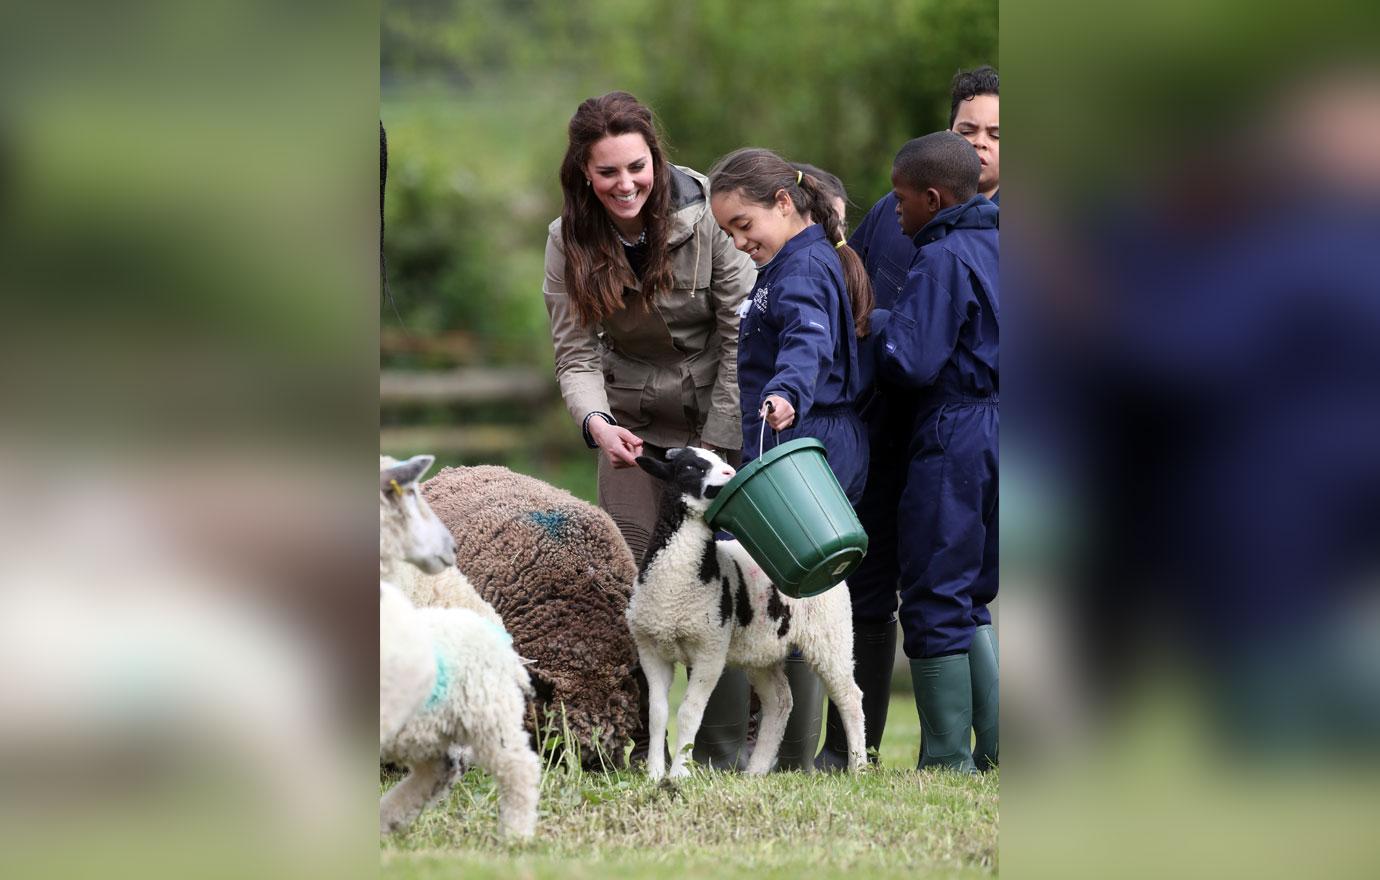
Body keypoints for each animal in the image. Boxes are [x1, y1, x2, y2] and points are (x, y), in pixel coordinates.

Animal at [632, 452, 866, 783]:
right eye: (691, 466)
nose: (731, 472)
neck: (674, 591)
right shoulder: (651, 648)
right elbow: (657, 713)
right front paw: (654, 774)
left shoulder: (710, 651)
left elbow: (689, 712)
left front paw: (678, 774)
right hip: (763, 651)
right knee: (780, 702)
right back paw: (756, 770)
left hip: (831, 634)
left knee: (849, 697)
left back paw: (859, 767)